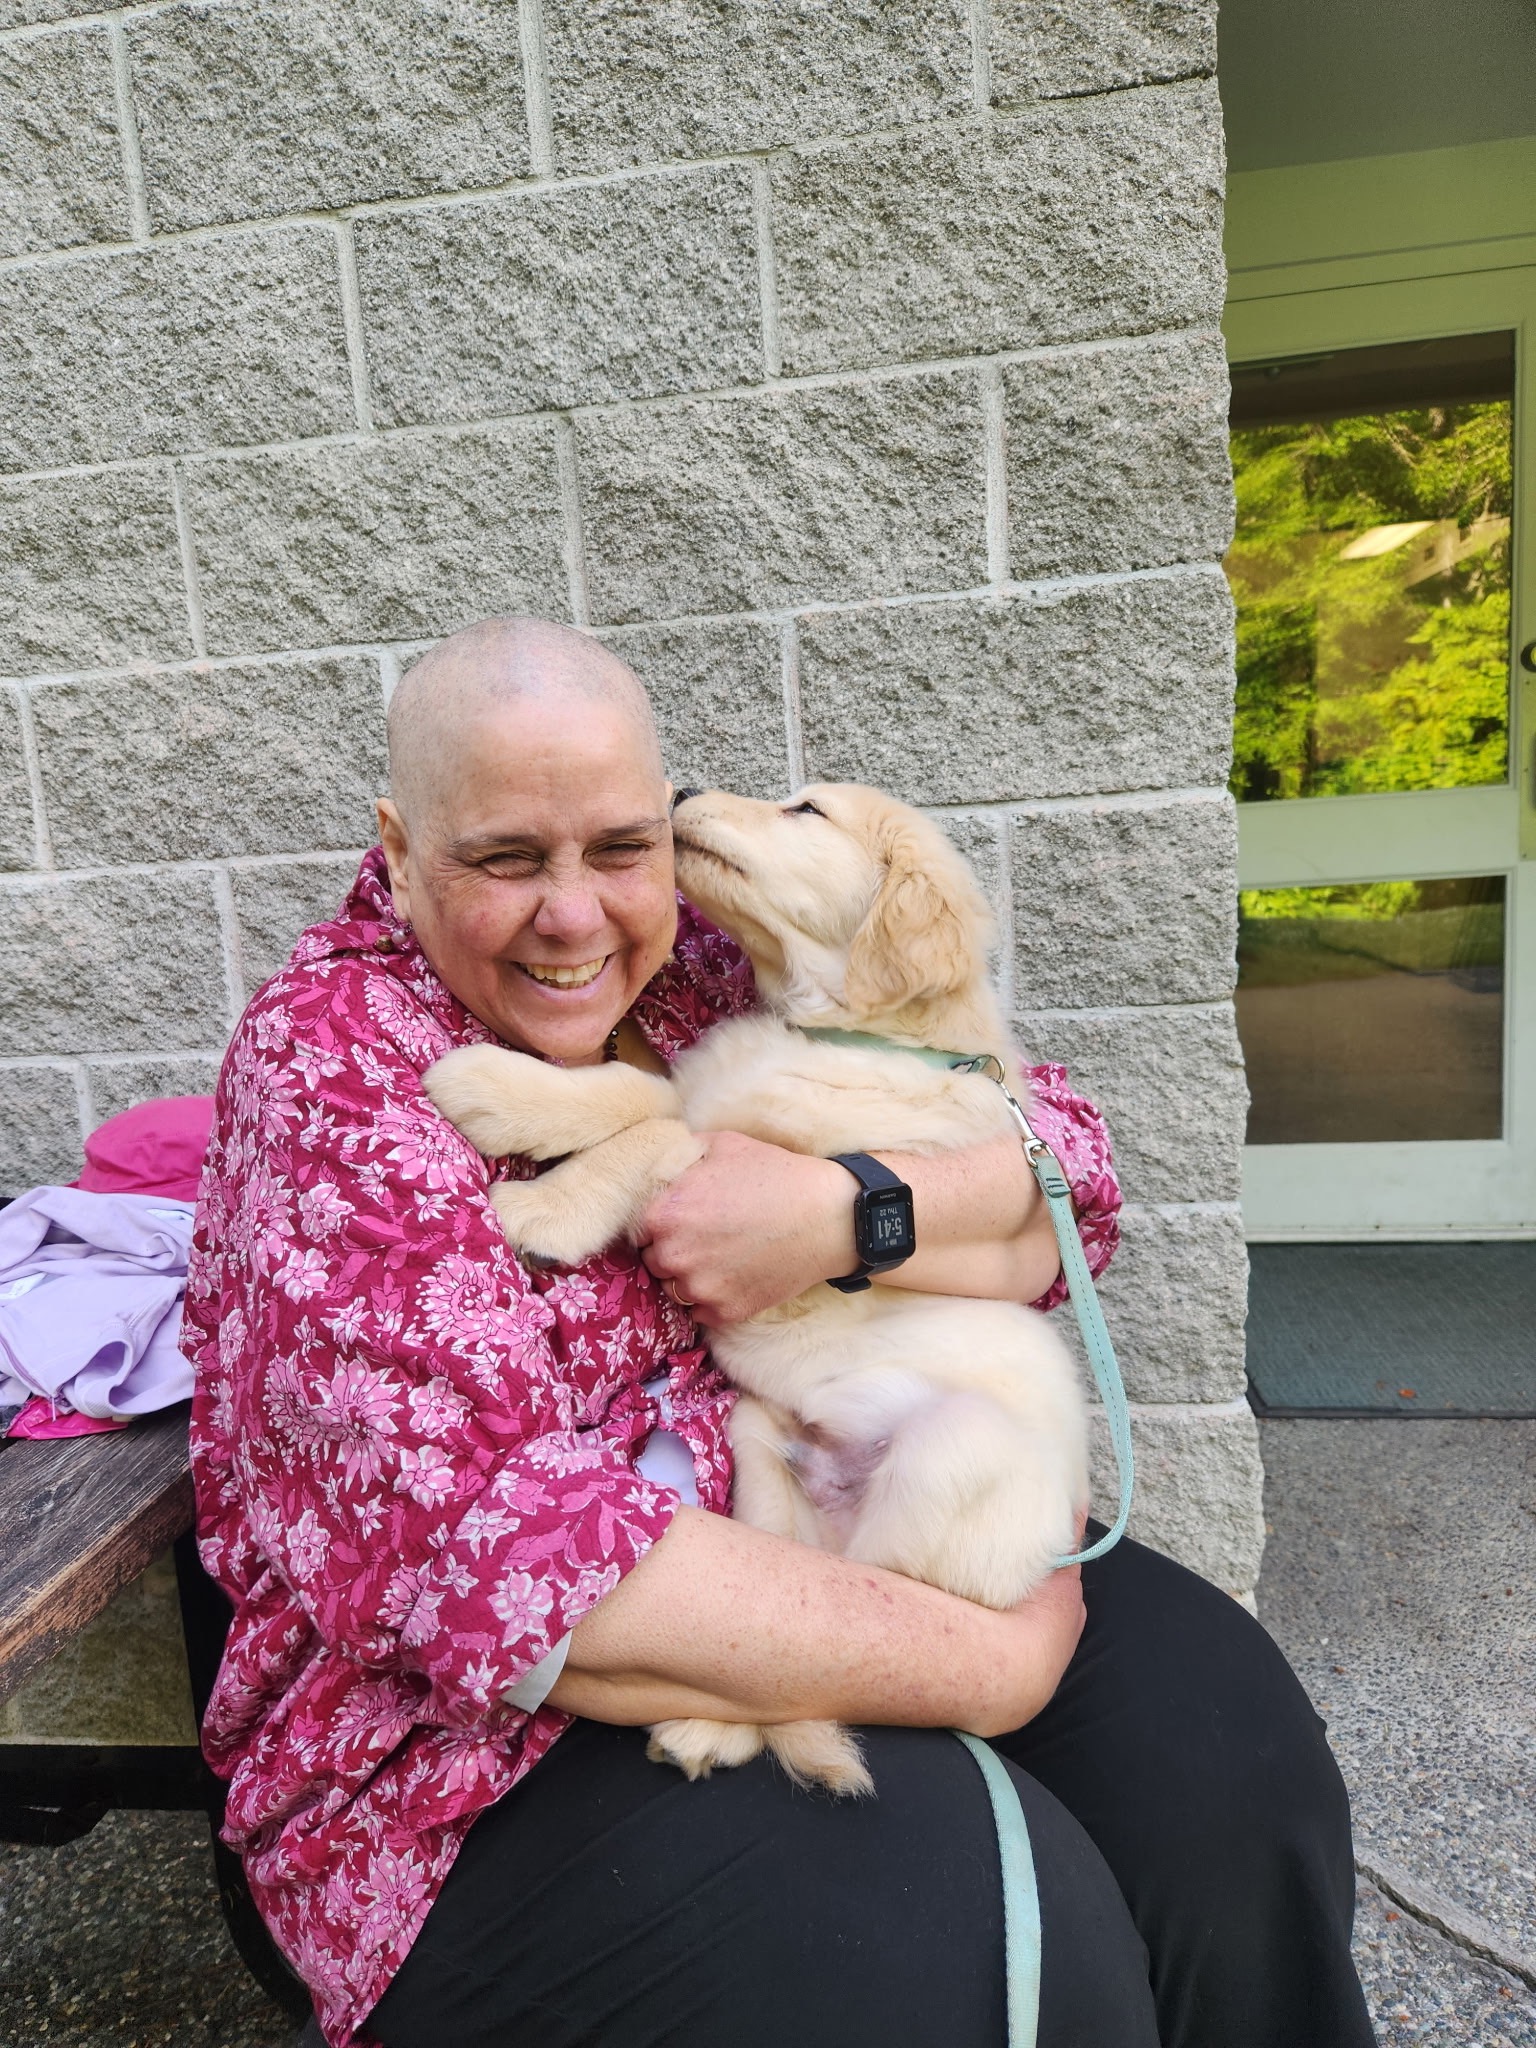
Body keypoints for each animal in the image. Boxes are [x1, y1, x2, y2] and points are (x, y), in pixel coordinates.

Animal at [424, 784, 1089, 1796]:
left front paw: (543, 1208)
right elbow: (636, 1095)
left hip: (950, 1457)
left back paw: (713, 1731)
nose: (681, 791)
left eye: (805, 809)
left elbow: (660, 1137)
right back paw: (707, 1731)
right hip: (758, 1445)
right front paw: (498, 1087)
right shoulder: (703, 1102)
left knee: (873, 1645)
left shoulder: (752, 1193)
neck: (835, 1031)